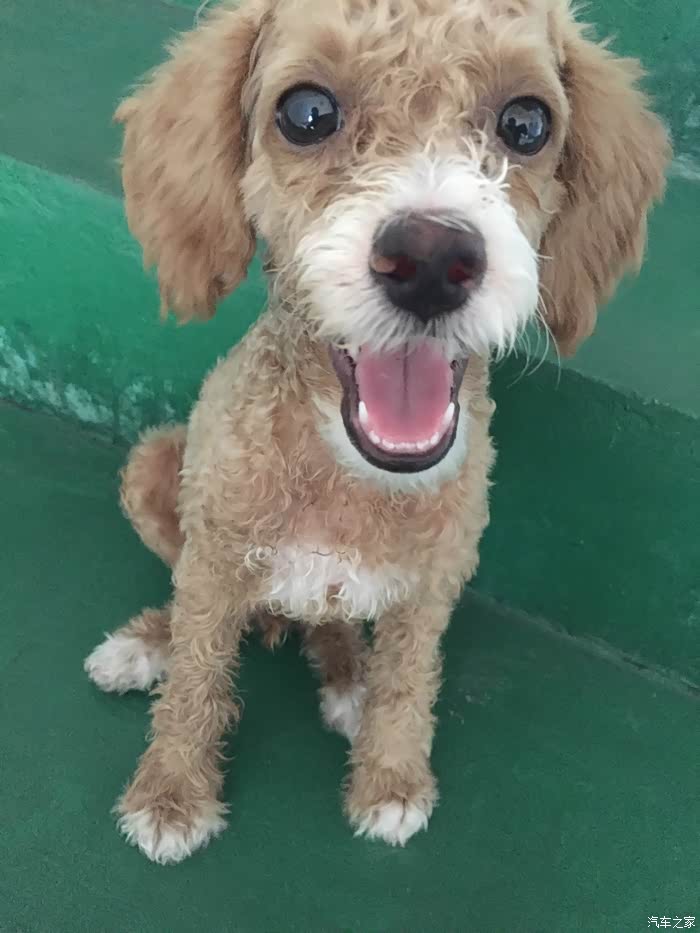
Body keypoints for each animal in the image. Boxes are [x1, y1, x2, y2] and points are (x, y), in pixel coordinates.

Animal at [84, 0, 670, 864]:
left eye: (527, 123)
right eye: (306, 114)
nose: (430, 259)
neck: (346, 475)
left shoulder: (435, 583)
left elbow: (409, 681)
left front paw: (390, 779)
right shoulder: (215, 554)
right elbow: (197, 670)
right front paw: (172, 791)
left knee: (330, 625)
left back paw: (343, 675)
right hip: (158, 464)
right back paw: (144, 643)